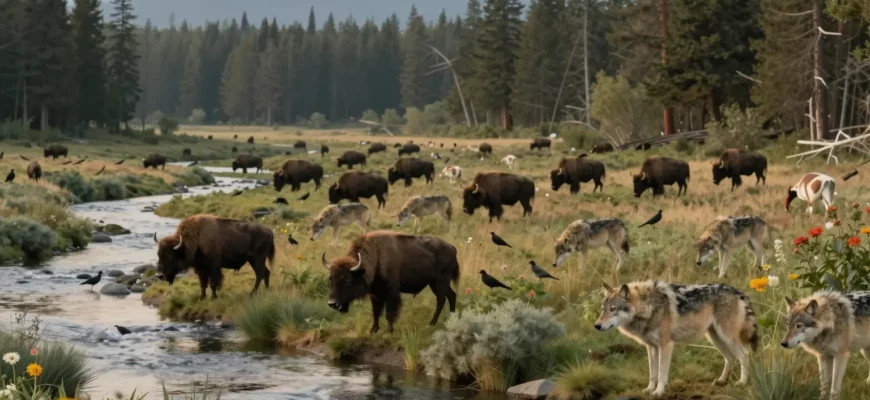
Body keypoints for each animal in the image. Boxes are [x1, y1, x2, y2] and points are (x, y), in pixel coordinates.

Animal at [322, 231, 459, 333]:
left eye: (346, 279)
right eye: (330, 279)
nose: (332, 303)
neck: (376, 258)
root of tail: (452, 248)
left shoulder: (391, 292)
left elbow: (389, 313)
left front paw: (389, 331)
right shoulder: (375, 295)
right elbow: (376, 312)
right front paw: (372, 331)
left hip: (440, 282)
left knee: (442, 299)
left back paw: (432, 323)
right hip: (434, 283)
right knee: (450, 296)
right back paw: (449, 319)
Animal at [595, 281, 758, 397]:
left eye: (613, 309)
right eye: (603, 309)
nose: (597, 325)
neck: (649, 306)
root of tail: (738, 292)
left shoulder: (665, 345)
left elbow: (661, 373)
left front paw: (658, 392)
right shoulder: (651, 347)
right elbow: (652, 373)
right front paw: (649, 389)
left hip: (726, 337)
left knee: (744, 355)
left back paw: (742, 382)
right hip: (715, 338)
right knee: (730, 357)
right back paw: (721, 381)